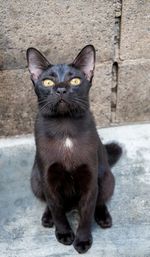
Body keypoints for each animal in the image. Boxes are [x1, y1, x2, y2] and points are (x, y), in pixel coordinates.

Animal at [26, 45, 122, 252]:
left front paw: (83, 241)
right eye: (47, 82)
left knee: (100, 200)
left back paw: (103, 217)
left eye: (75, 80)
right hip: (36, 180)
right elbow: (57, 209)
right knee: (51, 204)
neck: (65, 129)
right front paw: (63, 234)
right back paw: (47, 218)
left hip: (106, 179)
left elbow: (86, 213)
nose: (61, 89)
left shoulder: (89, 179)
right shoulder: (48, 178)